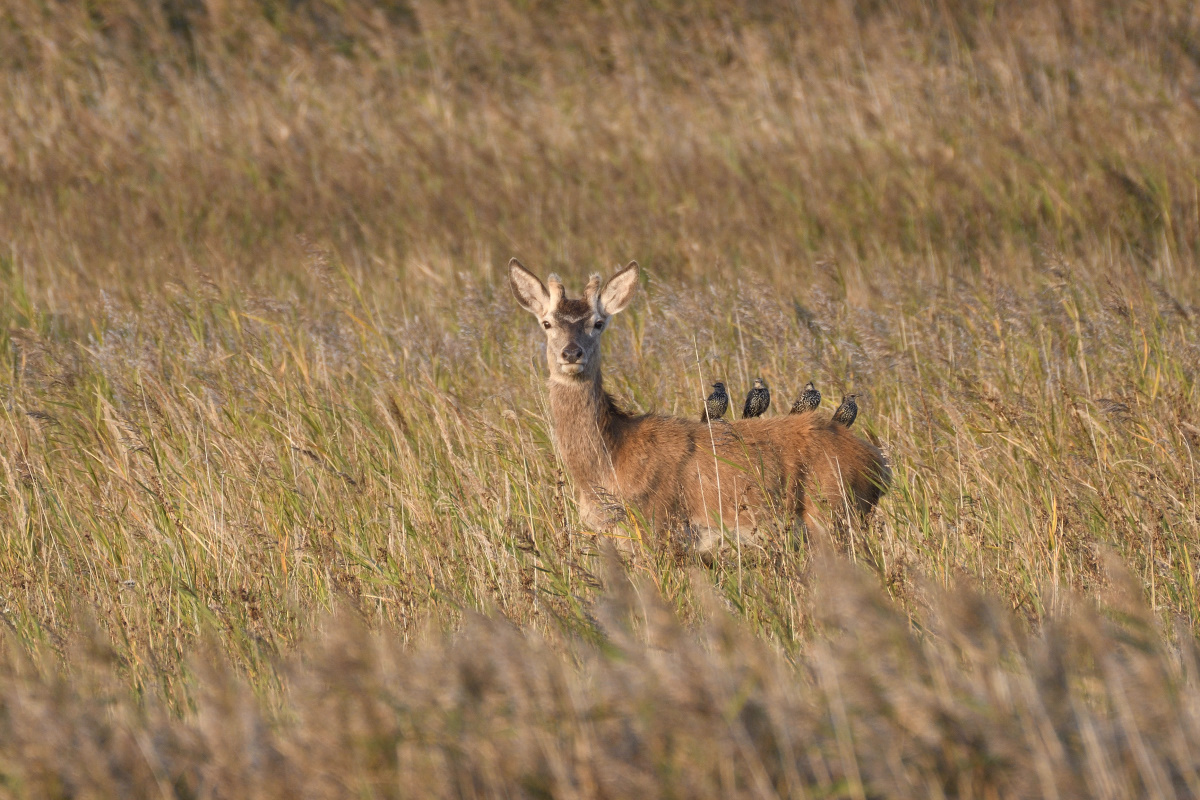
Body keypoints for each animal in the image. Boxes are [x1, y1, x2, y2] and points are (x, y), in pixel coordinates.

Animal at [508, 258, 889, 554]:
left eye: (598, 323)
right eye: (546, 323)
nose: (571, 353)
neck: (609, 462)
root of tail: (879, 465)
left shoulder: (658, 526)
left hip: (833, 512)